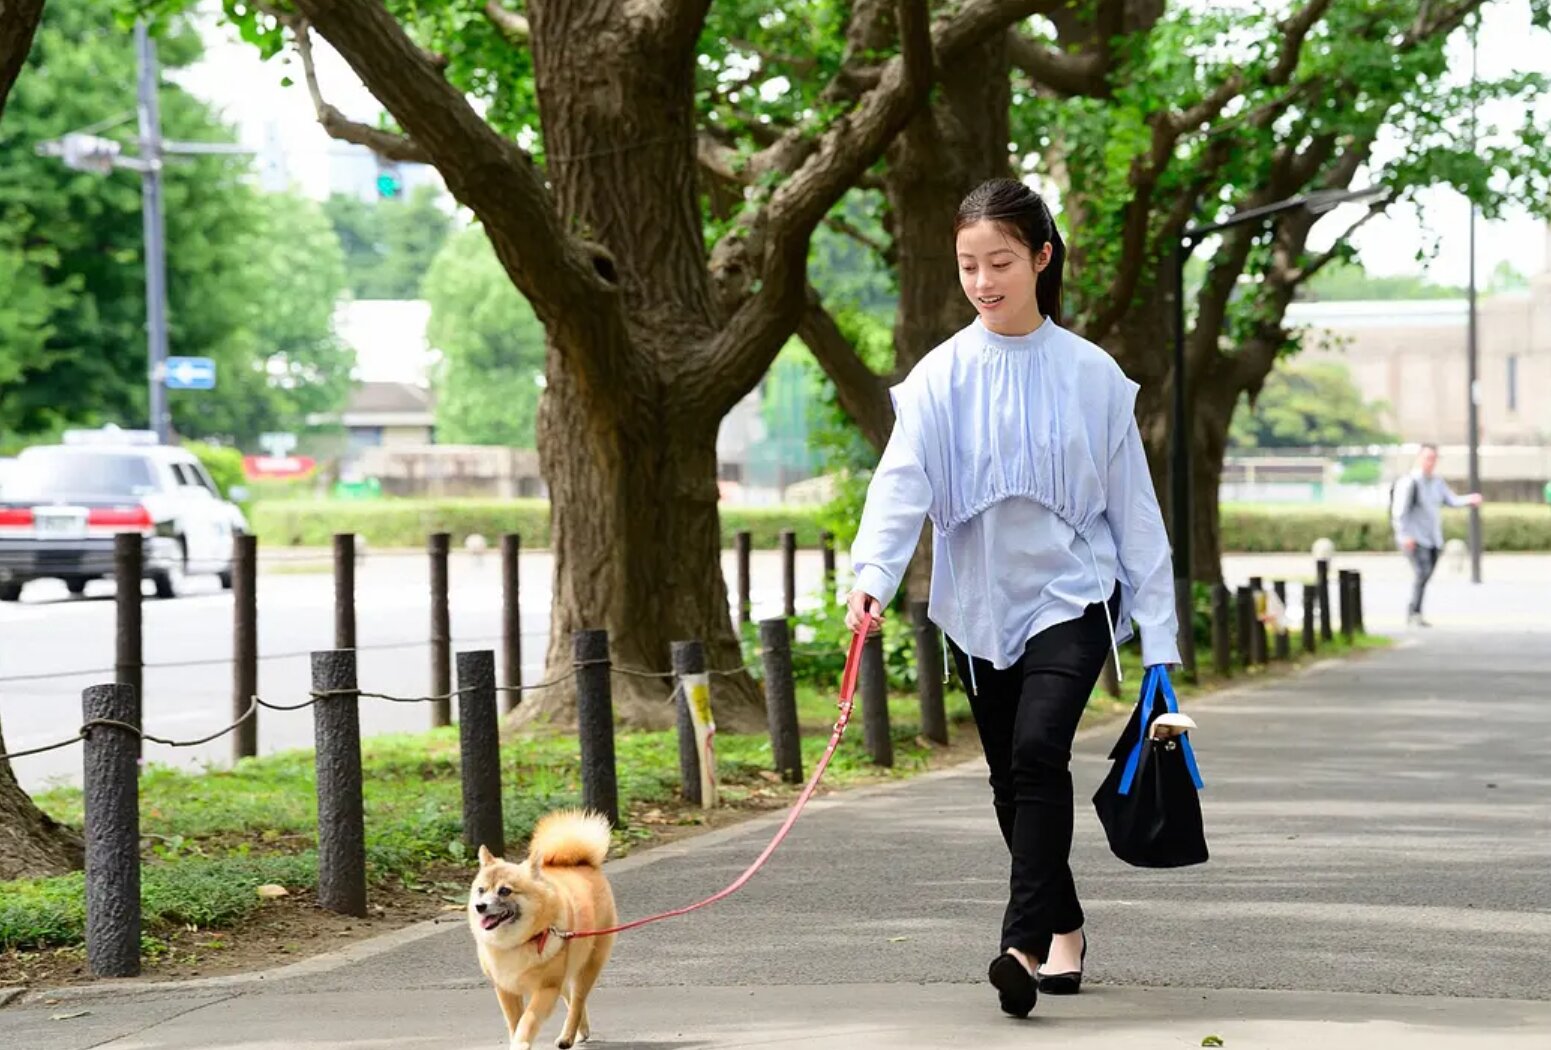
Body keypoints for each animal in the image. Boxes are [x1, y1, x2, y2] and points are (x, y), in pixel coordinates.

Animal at [465, 806, 617, 1042]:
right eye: (481, 890)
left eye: (505, 891)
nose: (480, 906)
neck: (517, 942)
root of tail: (583, 863)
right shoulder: (506, 990)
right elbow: (515, 1022)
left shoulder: (546, 988)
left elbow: (527, 1022)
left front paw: (521, 1042)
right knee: (572, 999)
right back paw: (581, 1030)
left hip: (588, 966)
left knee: (577, 1001)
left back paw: (567, 1036)